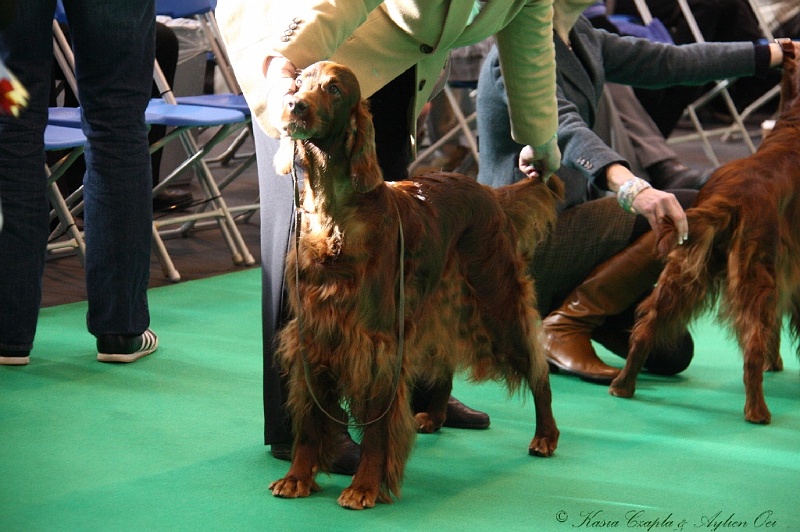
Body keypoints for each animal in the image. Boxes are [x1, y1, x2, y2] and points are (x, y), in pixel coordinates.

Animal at [268, 60, 564, 510]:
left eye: (334, 89)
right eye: (298, 83)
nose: (294, 106)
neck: (336, 215)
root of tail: (488, 192)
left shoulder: (378, 345)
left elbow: (376, 431)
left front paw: (365, 486)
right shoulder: (314, 336)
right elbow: (309, 422)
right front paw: (298, 476)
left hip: (496, 301)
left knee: (537, 367)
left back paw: (545, 435)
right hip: (439, 305)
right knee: (444, 359)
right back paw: (436, 415)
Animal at [608, 45, 800, 424]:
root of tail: (731, 198)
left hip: (682, 269)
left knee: (647, 325)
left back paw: (623, 385)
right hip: (756, 274)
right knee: (752, 346)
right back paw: (758, 411)